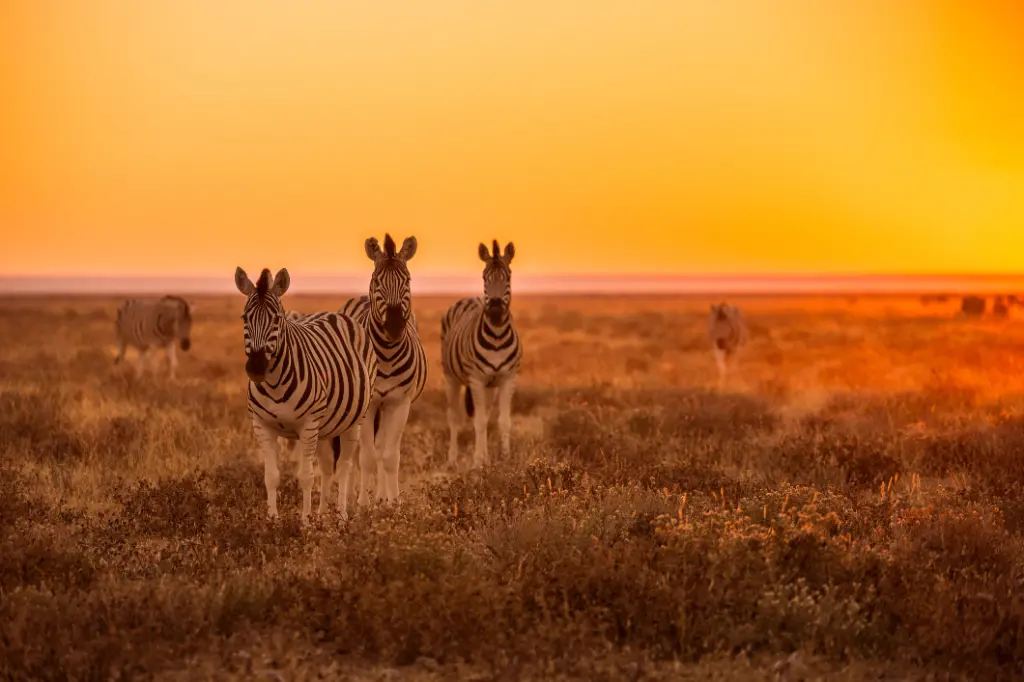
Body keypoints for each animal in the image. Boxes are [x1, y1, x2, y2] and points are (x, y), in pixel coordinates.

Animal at [234, 266, 378, 520]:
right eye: (244, 318)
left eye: (277, 319)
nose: (256, 368)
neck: (275, 385)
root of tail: (335, 314)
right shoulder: (262, 426)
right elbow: (271, 476)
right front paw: (272, 520)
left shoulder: (308, 425)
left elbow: (306, 477)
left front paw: (305, 522)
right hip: (325, 426)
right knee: (328, 466)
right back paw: (323, 514)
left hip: (353, 421)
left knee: (343, 467)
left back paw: (342, 516)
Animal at [339, 233, 428, 503]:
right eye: (377, 280)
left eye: (407, 280)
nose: (394, 326)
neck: (387, 355)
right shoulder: (369, 405)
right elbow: (366, 456)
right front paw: (362, 504)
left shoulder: (400, 402)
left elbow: (389, 456)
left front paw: (392, 502)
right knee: (354, 450)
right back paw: (351, 496)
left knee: (380, 446)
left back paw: (380, 496)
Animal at [440, 238, 524, 466]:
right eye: (485, 277)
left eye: (508, 277)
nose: (494, 309)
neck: (496, 336)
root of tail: (470, 297)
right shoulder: (476, 379)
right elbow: (478, 421)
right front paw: (478, 462)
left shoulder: (507, 378)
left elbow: (503, 421)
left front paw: (505, 458)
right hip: (451, 378)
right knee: (454, 418)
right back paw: (452, 459)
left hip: (490, 386)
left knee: (484, 415)